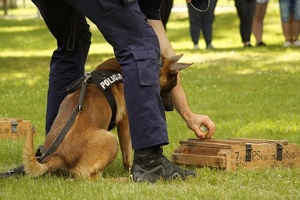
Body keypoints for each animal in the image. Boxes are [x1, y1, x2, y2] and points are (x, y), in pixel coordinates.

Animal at [23, 54, 192, 179]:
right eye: (172, 86)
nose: (170, 108)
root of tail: (57, 156)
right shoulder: (125, 122)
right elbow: (127, 153)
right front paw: (130, 169)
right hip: (111, 140)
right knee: (91, 177)